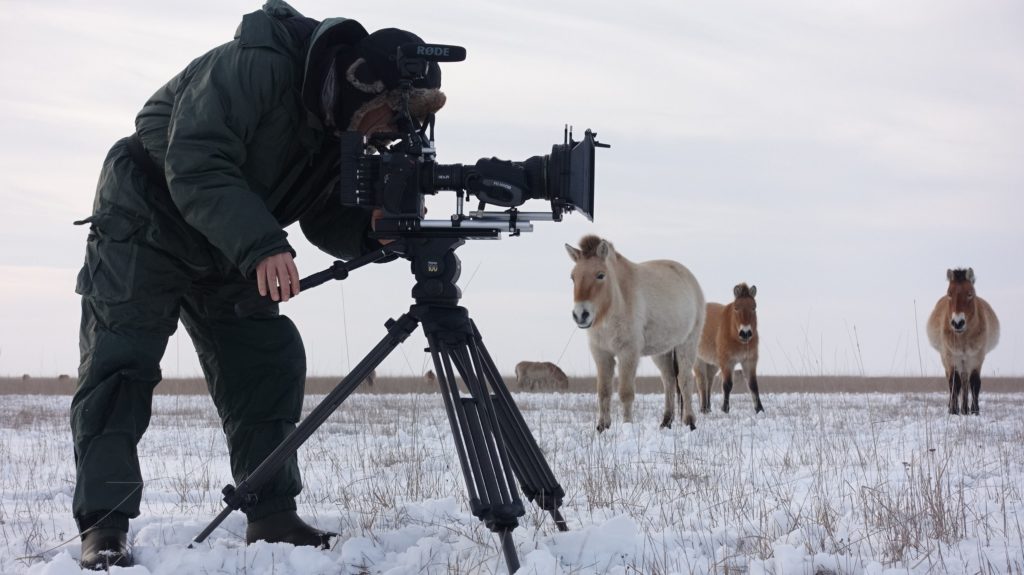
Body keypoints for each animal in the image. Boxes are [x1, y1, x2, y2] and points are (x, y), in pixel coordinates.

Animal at [565, 233, 708, 429]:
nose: (580, 314)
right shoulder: (601, 354)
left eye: (600, 275)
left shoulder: (628, 353)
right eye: (573, 277)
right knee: (669, 381)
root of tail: (690, 278)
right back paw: (666, 422)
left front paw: (627, 426)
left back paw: (690, 421)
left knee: (685, 380)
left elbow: (625, 392)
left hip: (687, 345)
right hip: (661, 352)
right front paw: (602, 427)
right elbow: (603, 391)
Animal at [692, 282, 765, 411]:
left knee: (709, 382)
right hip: (699, 361)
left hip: (712, 365)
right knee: (701, 383)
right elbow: (727, 385)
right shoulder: (727, 362)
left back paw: (708, 408)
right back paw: (703, 408)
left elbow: (753, 385)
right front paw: (725, 409)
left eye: (754, 307)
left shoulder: (749, 361)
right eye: (736, 308)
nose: (745, 333)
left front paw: (759, 409)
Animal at [929, 266, 999, 413]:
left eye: (970, 294)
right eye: (949, 294)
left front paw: (975, 410)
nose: (958, 323)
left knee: (966, 382)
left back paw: (966, 409)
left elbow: (975, 382)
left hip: (966, 362)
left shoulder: (977, 357)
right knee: (954, 381)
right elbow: (954, 383)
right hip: (948, 359)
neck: (963, 337)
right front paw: (953, 410)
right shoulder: (951, 357)